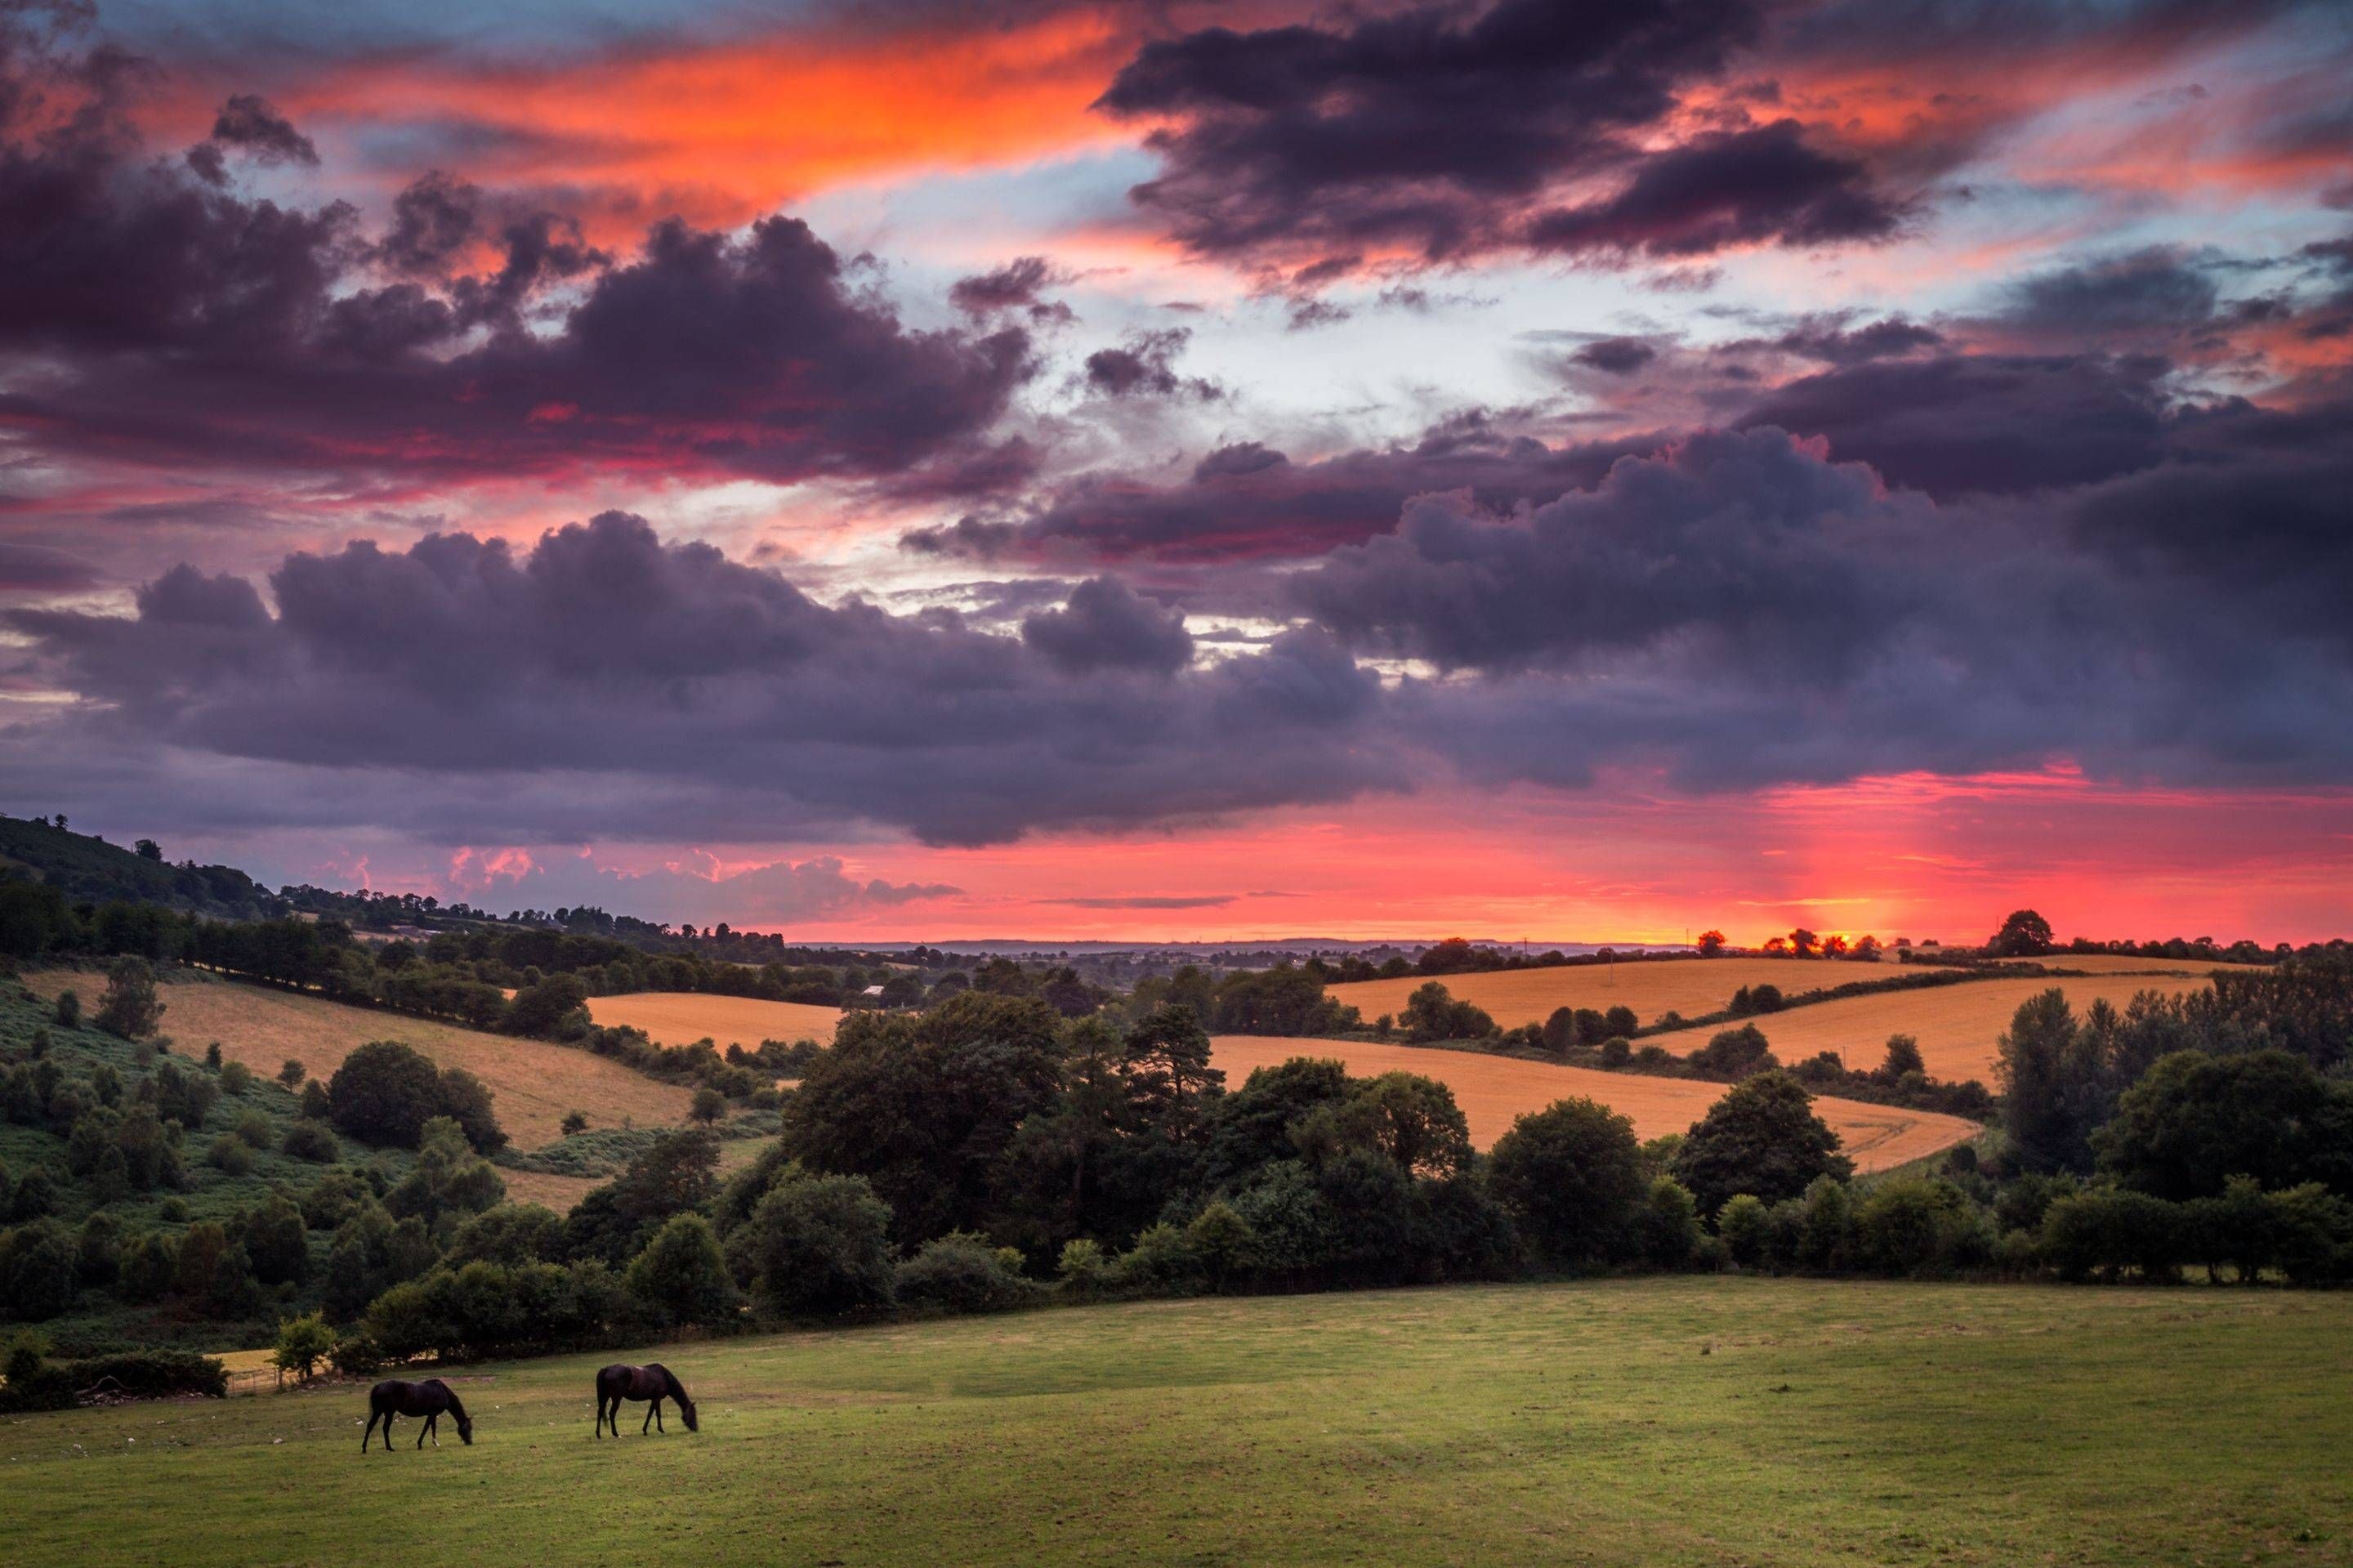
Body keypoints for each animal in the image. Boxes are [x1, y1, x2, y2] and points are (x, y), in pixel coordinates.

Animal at [359, 1374, 471, 1450]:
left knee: (377, 1427)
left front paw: (432, 1443)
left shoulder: (432, 1414)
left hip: (384, 1412)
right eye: (469, 1429)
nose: (470, 1442)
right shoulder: (433, 1413)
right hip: (386, 1412)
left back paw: (375, 1448)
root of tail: (378, 1386)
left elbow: (431, 1427)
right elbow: (428, 1427)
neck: (442, 1392)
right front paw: (423, 1444)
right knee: (379, 1427)